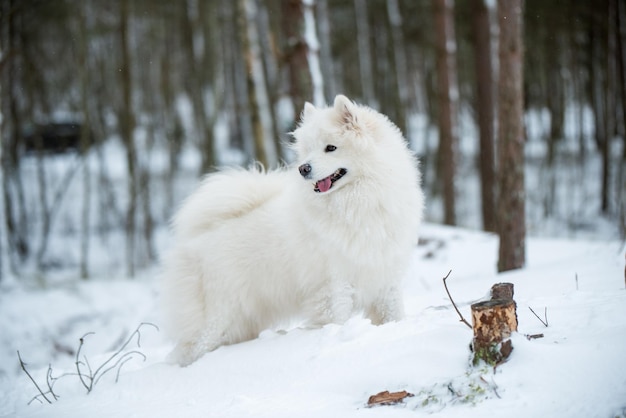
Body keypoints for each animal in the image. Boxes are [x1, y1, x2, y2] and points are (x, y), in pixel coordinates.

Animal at [161, 94, 424, 366]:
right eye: (307, 150)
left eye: (330, 148)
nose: (303, 168)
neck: (358, 201)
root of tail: (194, 241)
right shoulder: (333, 285)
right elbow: (338, 320)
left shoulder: (385, 277)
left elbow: (393, 314)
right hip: (217, 319)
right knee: (191, 349)